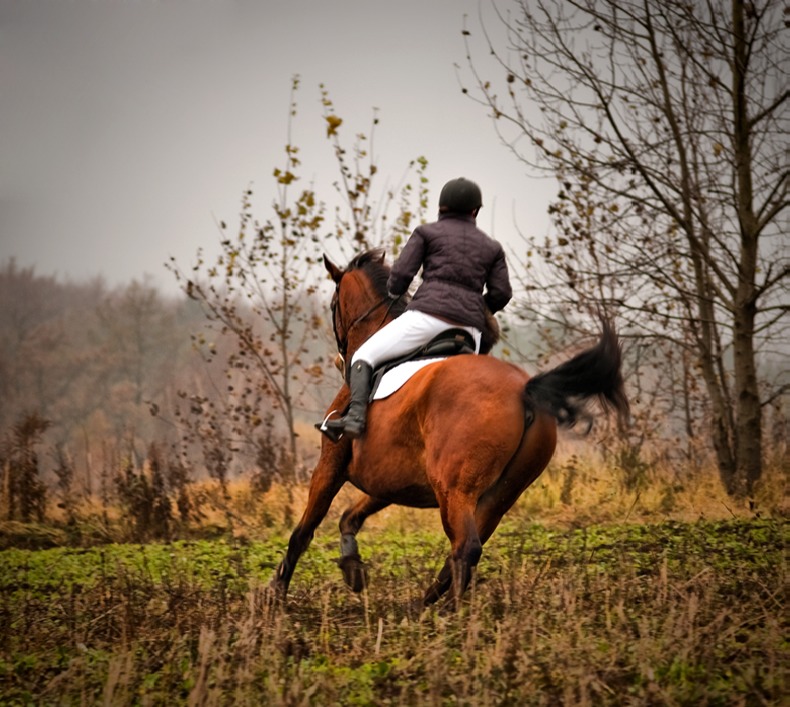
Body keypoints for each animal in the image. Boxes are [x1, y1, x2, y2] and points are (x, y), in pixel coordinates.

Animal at [274, 249, 632, 608]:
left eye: (334, 304)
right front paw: (352, 568)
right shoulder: (392, 482)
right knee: (465, 550)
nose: (339, 358)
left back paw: (449, 612)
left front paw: (277, 593)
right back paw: (426, 603)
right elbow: (350, 516)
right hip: (499, 495)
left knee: (465, 548)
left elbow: (303, 533)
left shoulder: (330, 467)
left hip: (456, 491)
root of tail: (525, 391)